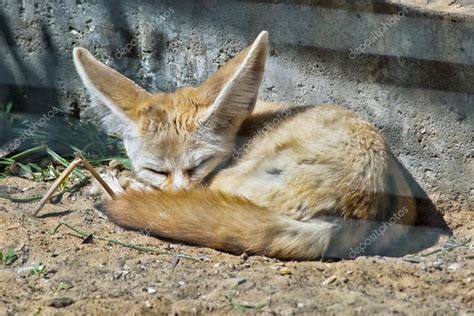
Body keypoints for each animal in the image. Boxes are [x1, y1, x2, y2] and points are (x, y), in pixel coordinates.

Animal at [73, 31, 418, 260]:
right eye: (157, 170)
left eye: (198, 164)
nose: (177, 192)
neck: (243, 125)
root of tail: (359, 209)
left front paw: (120, 182)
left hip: (229, 182)